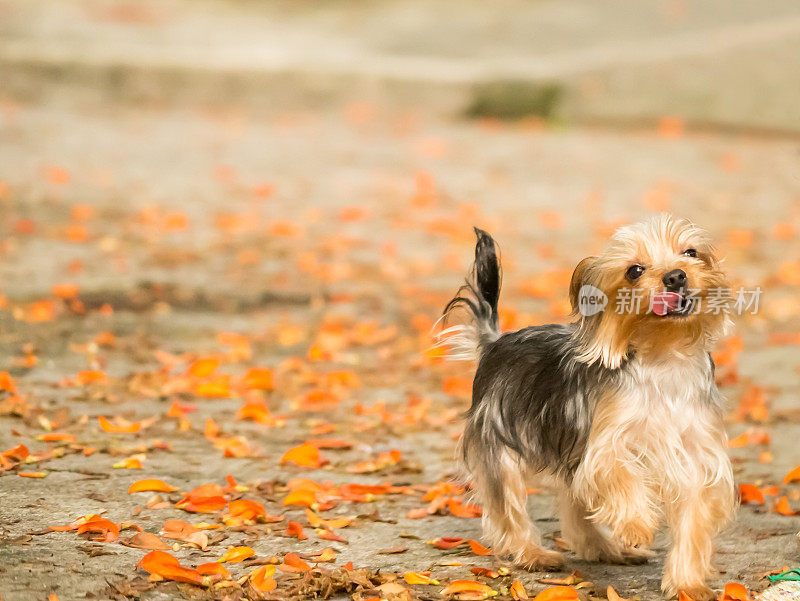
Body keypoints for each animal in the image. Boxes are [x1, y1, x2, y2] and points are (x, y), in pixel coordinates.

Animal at [440, 213, 736, 596]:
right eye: (634, 271)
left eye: (691, 253)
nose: (675, 276)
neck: (665, 356)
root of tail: (494, 343)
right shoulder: (606, 445)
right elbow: (620, 475)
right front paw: (637, 526)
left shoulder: (696, 458)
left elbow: (693, 522)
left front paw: (688, 584)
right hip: (498, 438)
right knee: (507, 507)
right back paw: (534, 554)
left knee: (574, 503)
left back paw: (606, 549)